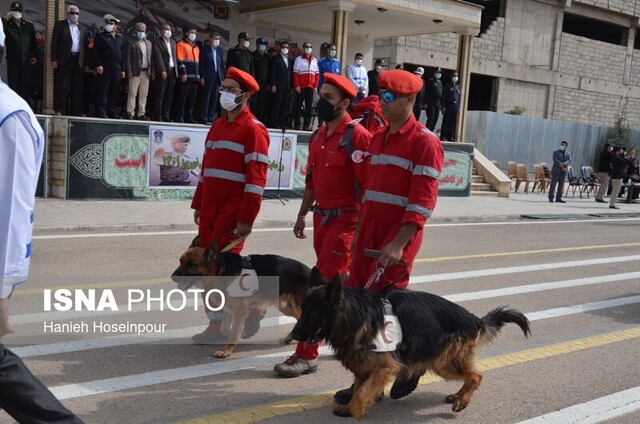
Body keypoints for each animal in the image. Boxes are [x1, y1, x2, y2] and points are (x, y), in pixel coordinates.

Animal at [170, 237, 310, 360]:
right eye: (180, 261)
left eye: (191, 264)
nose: (172, 277)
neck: (220, 271)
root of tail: (309, 270)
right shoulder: (231, 309)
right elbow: (225, 328)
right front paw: (237, 334)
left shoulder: (240, 310)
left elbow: (232, 332)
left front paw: (227, 350)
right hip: (284, 306)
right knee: (298, 317)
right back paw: (290, 337)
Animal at [292, 274, 532, 420]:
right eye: (302, 310)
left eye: (313, 313)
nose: (293, 336)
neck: (356, 316)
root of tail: (473, 319)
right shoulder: (364, 366)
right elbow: (359, 389)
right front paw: (350, 407)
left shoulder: (383, 368)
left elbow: (360, 394)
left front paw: (357, 411)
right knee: (470, 375)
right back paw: (457, 396)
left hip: (443, 362)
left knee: (476, 376)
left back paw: (461, 400)